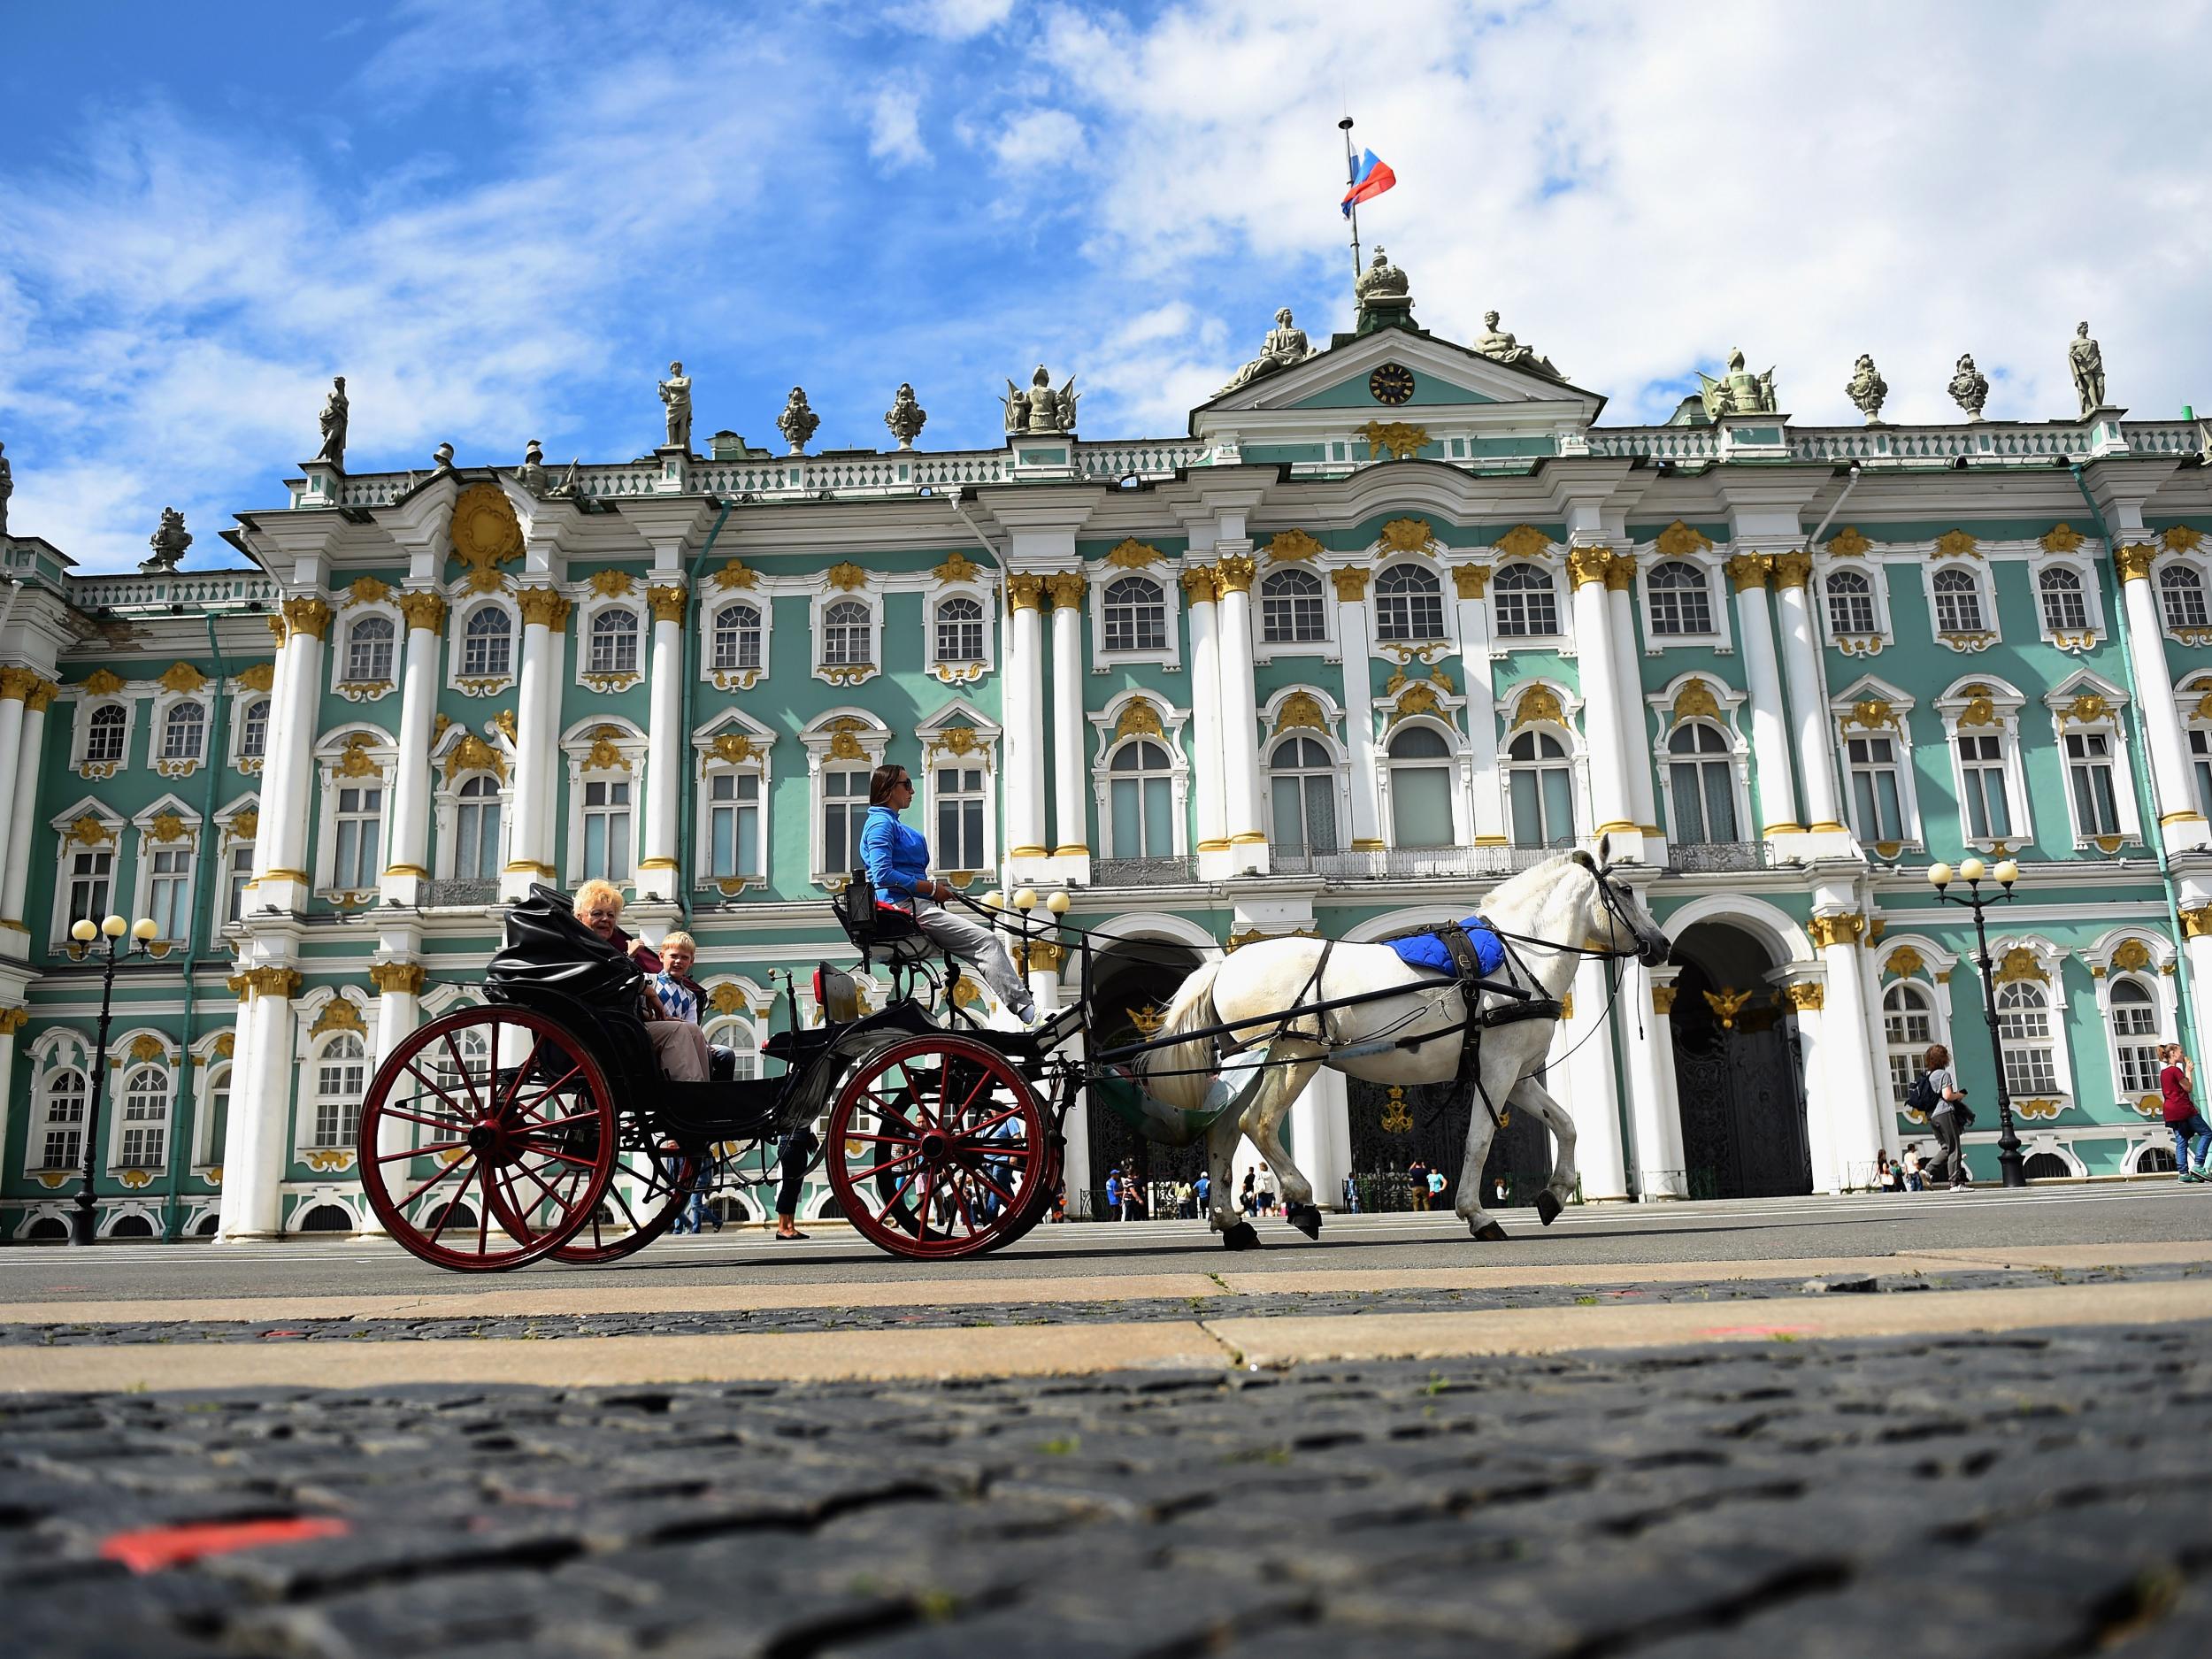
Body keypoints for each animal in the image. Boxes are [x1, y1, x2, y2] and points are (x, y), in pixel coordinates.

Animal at [1133, 845, 1663, 1248]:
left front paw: (1553, 1197)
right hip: (1294, 1057)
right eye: (1625, 890)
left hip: (1249, 1061)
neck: (1519, 955)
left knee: (1222, 1131)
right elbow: (1479, 1141)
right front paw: (1478, 1215)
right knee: (1255, 1123)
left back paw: (1233, 1225)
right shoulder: (1495, 1069)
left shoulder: (1517, 1074)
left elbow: (1567, 1125)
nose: (1660, 946)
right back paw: (1303, 1204)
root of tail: (1224, 964)